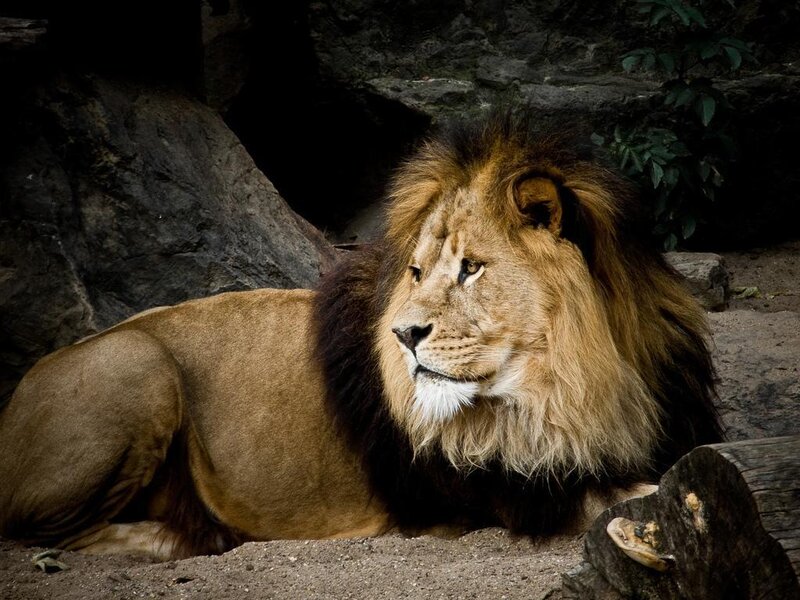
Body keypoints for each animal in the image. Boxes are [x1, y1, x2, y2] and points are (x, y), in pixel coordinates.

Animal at [0, 112, 722, 559]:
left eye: (471, 267)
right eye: (417, 271)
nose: (403, 334)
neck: (580, 386)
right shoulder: (507, 492)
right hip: (138, 361)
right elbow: (634, 492)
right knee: (41, 535)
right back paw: (191, 538)